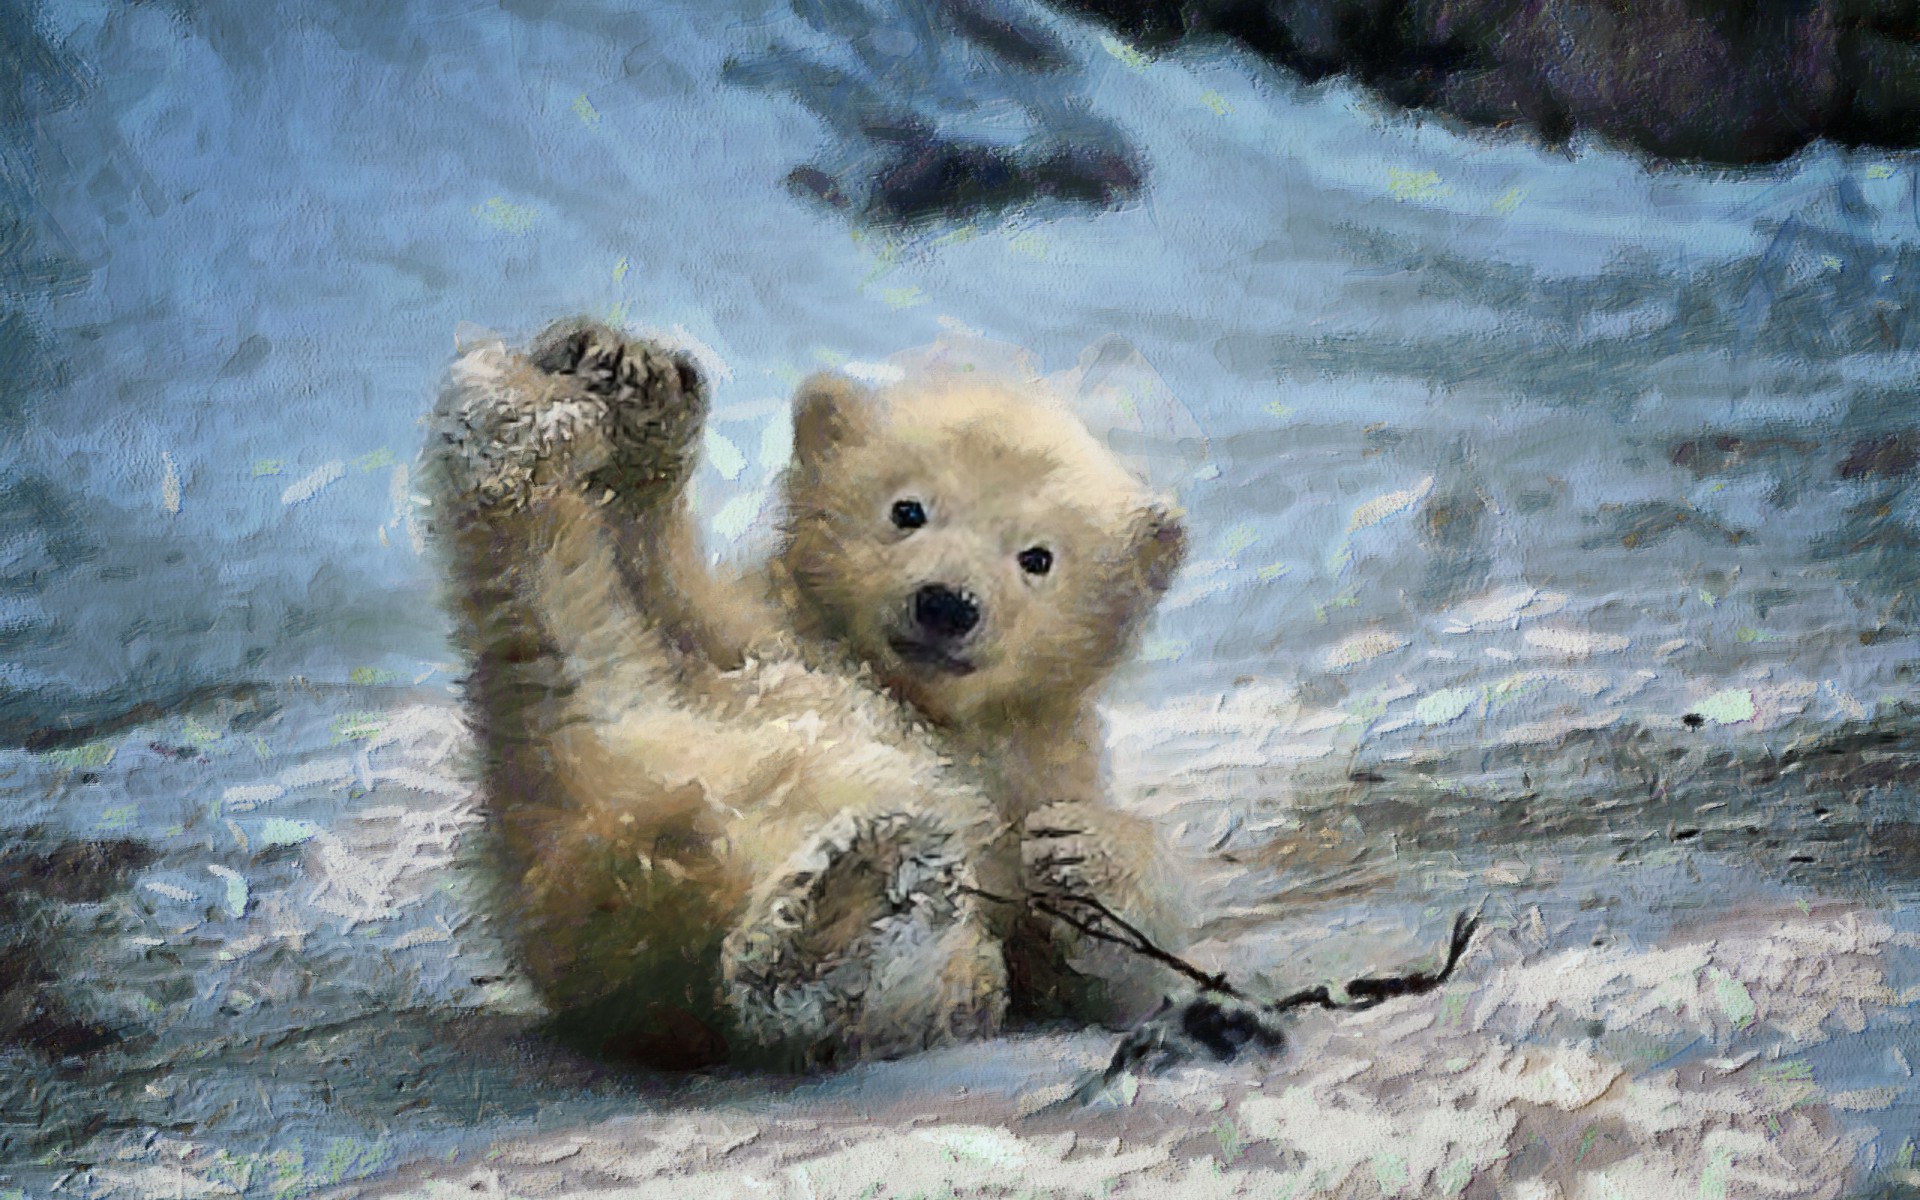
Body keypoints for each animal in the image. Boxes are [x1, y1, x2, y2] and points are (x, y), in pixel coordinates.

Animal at [423, 317, 1189, 1069]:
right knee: (564, 625)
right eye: (907, 510)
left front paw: (1084, 848)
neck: (914, 697)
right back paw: (514, 421)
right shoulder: (761, 632)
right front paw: (636, 383)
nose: (946, 603)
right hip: (602, 754)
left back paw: (852, 905)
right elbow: (671, 596)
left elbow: (1099, 979)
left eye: (1037, 556)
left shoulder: (1036, 763)